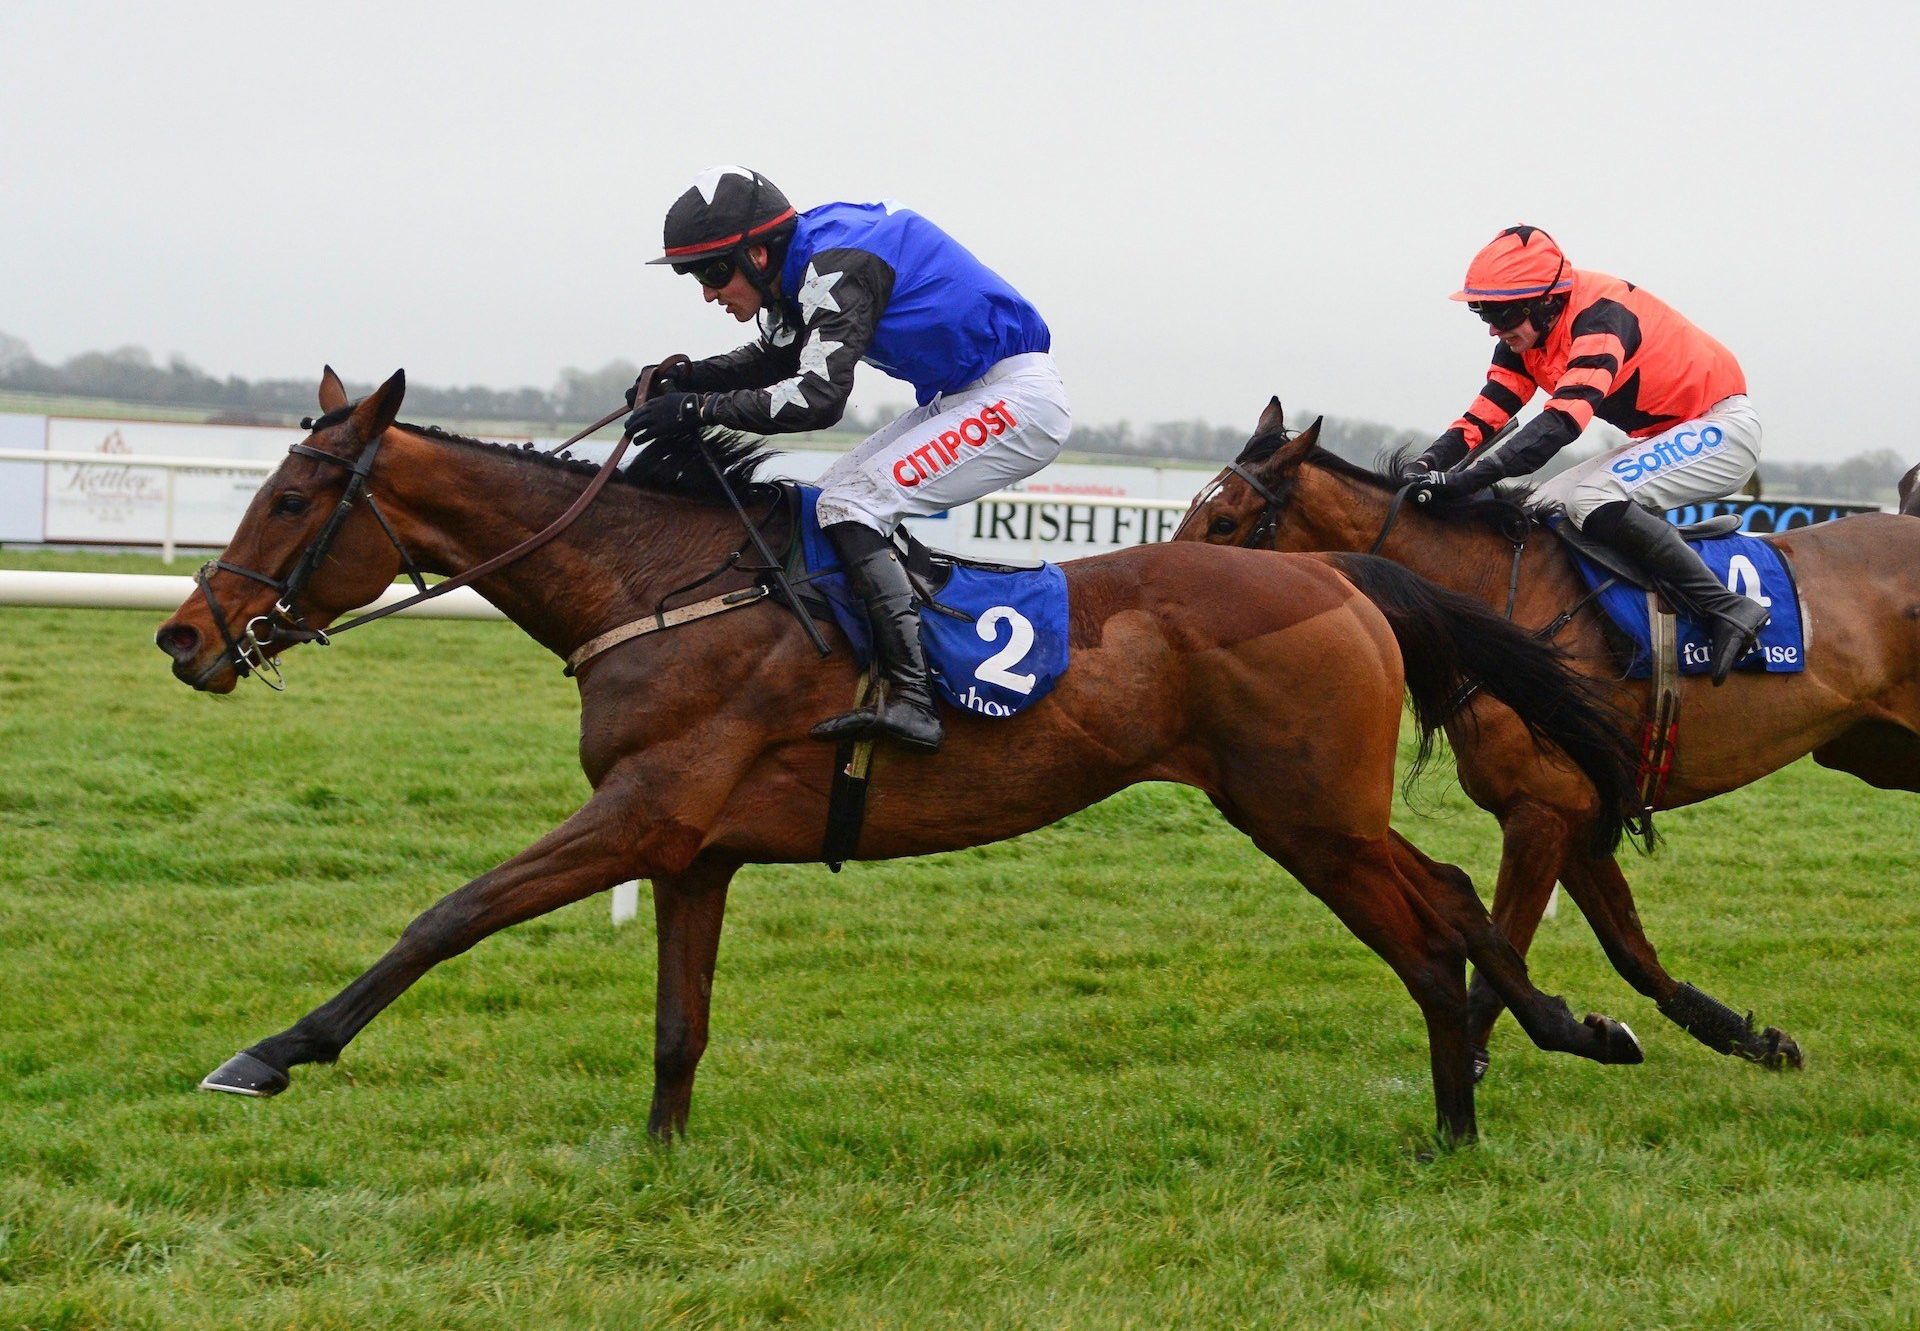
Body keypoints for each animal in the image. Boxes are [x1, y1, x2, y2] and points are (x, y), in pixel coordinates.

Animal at [153, 368, 1651, 1144]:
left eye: (295, 492)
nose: (184, 635)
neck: (658, 586)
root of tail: (1345, 574)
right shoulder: (695, 850)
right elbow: (679, 1021)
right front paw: (661, 1155)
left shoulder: (641, 816)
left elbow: (445, 914)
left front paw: (271, 1051)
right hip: (1307, 806)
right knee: (1447, 905)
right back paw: (1528, 1058)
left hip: (1303, 812)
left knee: (1433, 927)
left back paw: (1482, 1095)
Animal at [1175, 393, 1912, 1067]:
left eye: (1226, 519)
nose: (1166, 589)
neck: (1504, 599)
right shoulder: (1578, 810)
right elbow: (1631, 951)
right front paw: (1752, 1038)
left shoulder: (1540, 811)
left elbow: (1497, 961)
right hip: (1874, 750)